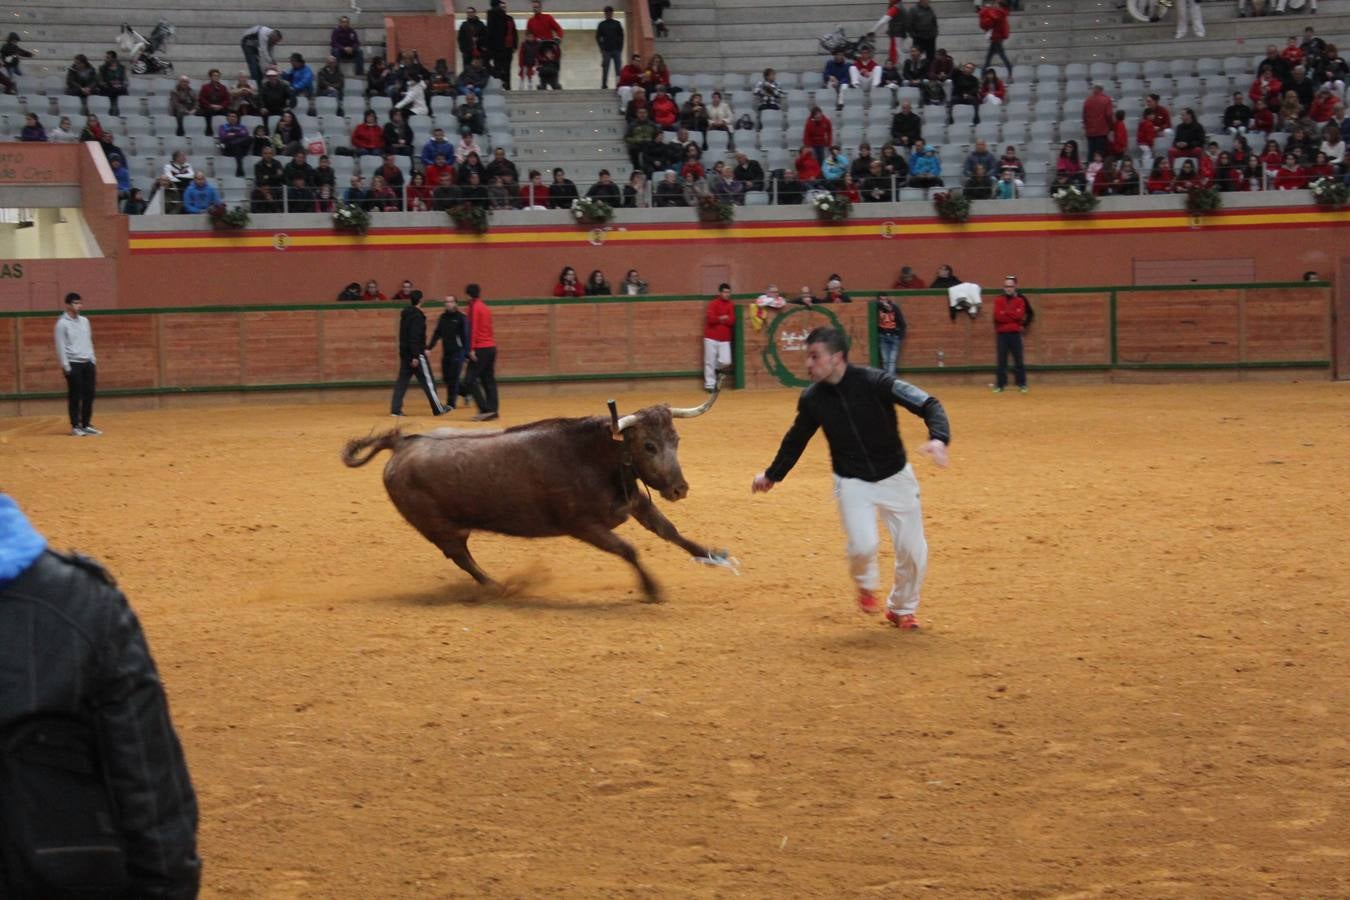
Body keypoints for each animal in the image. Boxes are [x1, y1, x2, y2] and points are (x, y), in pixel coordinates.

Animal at [342, 383, 734, 601]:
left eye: (676, 439)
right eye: (649, 446)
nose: (679, 488)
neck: (593, 456)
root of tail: (401, 444)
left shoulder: (635, 503)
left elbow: (671, 532)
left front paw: (716, 555)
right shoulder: (584, 526)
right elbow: (628, 549)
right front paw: (651, 589)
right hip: (439, 528)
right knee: (461, 556)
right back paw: (498, 587)